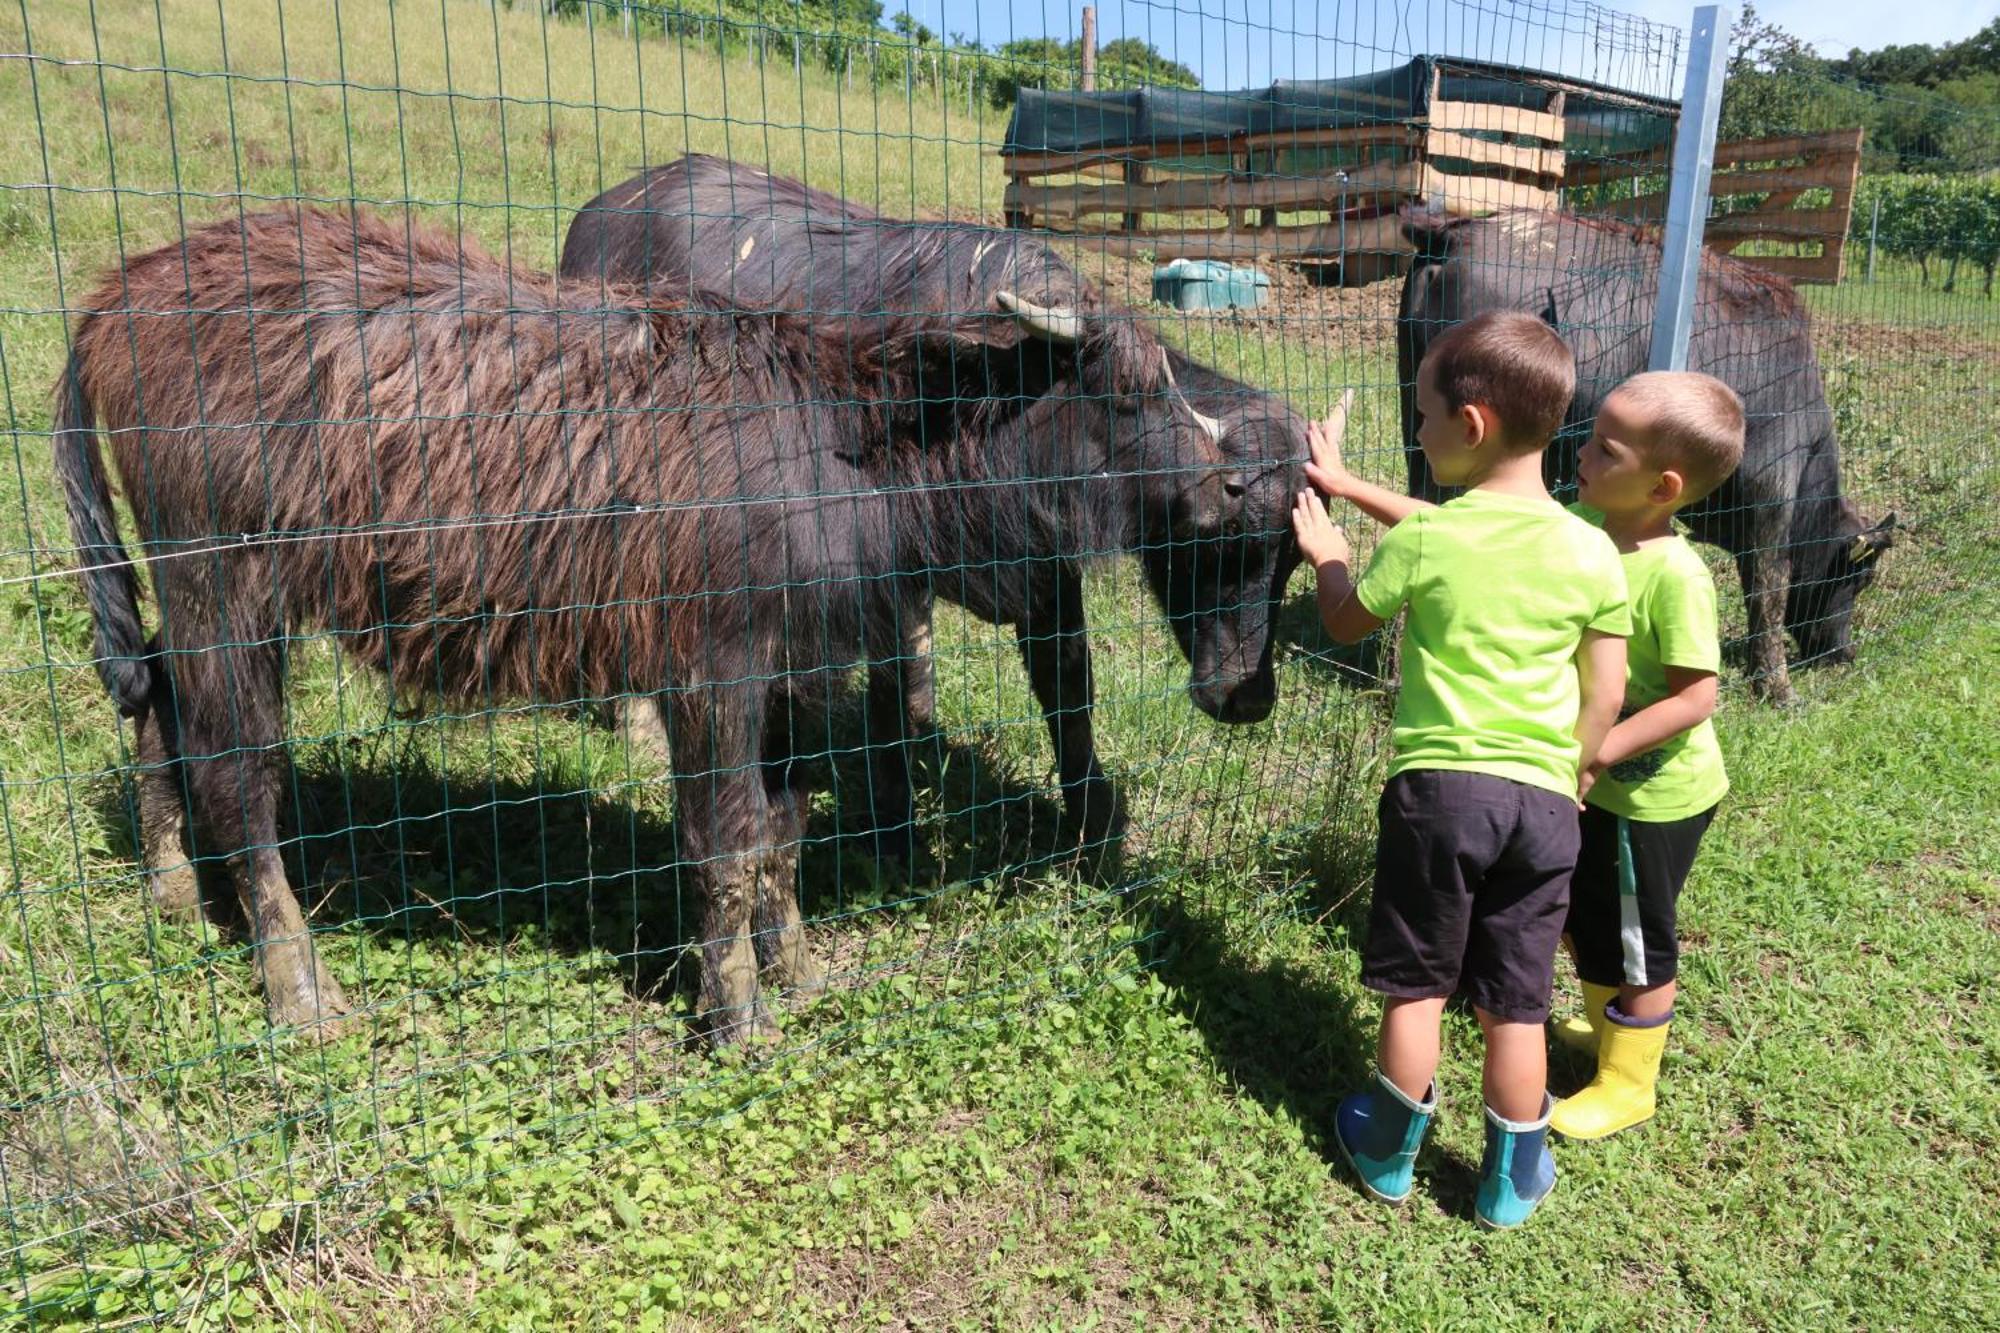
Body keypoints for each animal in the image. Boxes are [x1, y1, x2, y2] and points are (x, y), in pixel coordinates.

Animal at [1400, 208, 1896, 700]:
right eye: (1861, 577)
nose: (1844, 652)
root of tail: (1451, 234)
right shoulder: (1771, 496)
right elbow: (1767, 590)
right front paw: (1776, 686)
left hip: (1422, 442)